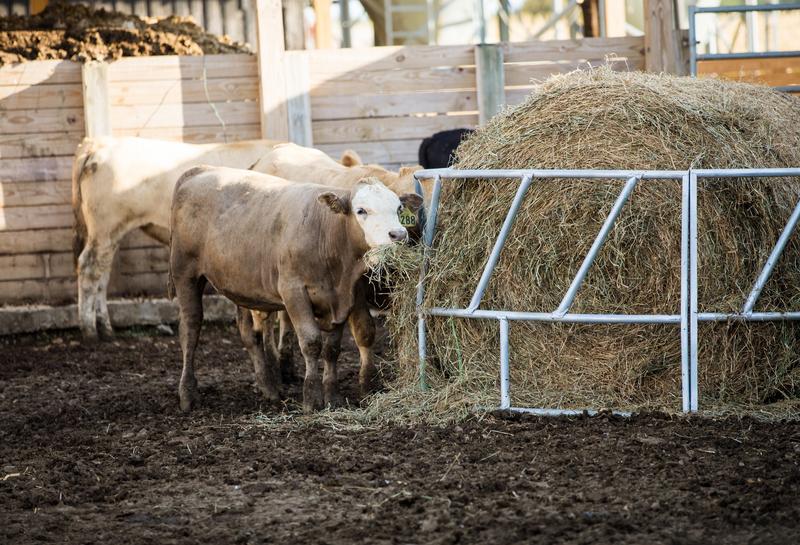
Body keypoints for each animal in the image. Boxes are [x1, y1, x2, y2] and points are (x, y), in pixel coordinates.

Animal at [168, 167, 422, 413]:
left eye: (398, 208)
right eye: (361, 211)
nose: (398, 235)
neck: (326, 233)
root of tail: (200, 170)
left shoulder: (343, 298)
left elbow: (332, 348)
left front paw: (333, 396)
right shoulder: (293, 292)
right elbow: (311, 343)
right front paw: (312, 398)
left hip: (239, 284)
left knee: (249, 335)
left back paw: (268, 387)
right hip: (185, 274)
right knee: (190, 328)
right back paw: (187, 394)